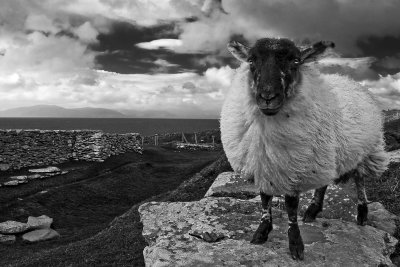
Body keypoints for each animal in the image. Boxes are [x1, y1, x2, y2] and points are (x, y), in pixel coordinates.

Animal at [220, 38, 390, 262]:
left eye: (295, 61)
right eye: (251, 60)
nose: (267, 97)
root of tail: (349, 80)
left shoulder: (295, 167)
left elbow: (291, 206)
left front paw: (295, 244)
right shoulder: (262, 163)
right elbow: (265, 199)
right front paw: (262, 232)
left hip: (366, 150)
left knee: (360, 179)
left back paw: (362, 213)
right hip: (326, 153)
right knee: (324, 182)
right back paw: (313, 210)